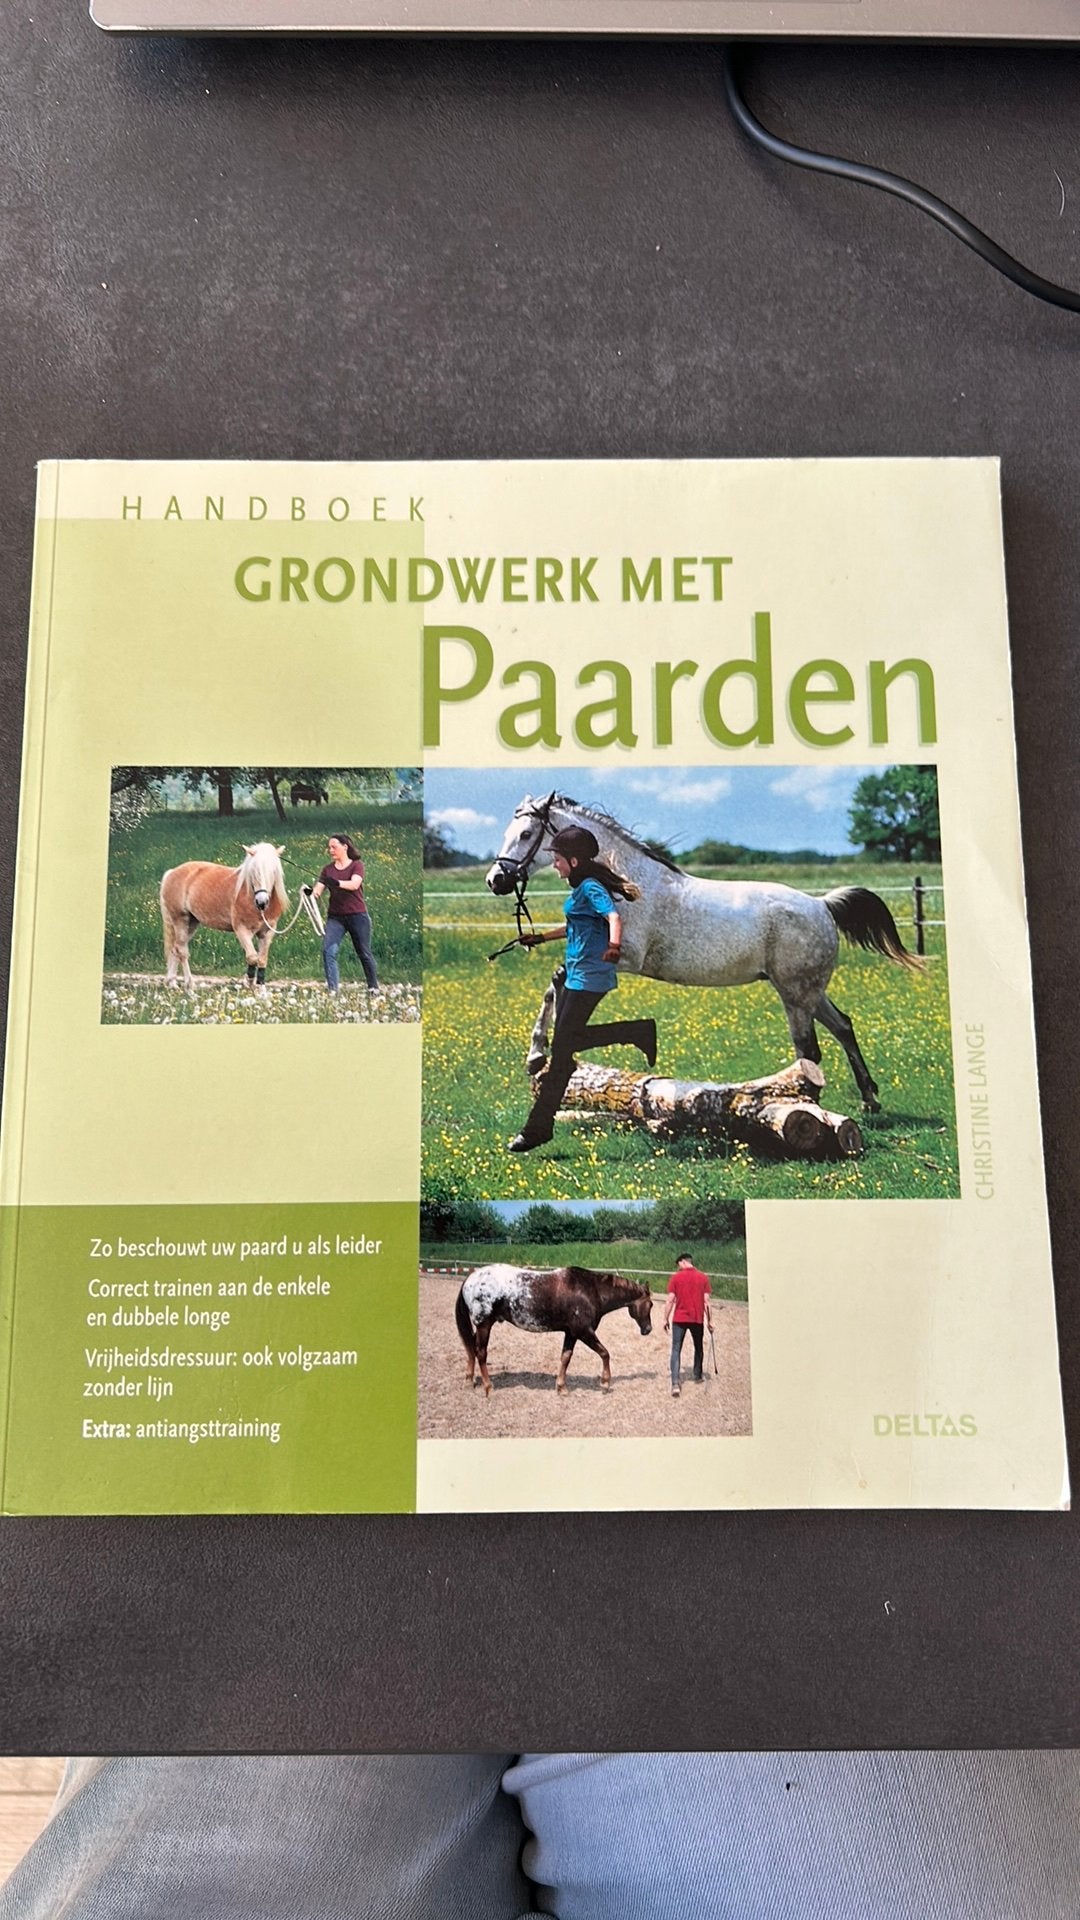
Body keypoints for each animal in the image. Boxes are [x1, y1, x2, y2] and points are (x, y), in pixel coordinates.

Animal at [160, 843, 288, 988]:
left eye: (274, 871)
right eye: (253, 871)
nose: (262, 902)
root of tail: (171, 872)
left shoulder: (266, 933)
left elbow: (261, 959)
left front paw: (260, 988)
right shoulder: (242, 930)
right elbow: (252, 957)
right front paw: (249, 983)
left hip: (191, 923)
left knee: (175, 948)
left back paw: (172, 983)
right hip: (180, 920)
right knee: (182, 951)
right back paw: (189, 983)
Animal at [454, 1262, 653, 1395]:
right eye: (650, 1304)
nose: (648, 1329)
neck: (591, 1291)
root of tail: (471, 1278)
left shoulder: (571, 1333)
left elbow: (565, 1358)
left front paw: (561, 1387)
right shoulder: (584, 1331)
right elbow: (605, 1353)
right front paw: (605, 1383)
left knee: (471, 1348)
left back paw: (469, 1380)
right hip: (484, 1325)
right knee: (480, 1353)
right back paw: (488, 1387)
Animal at [486, 793, 923, 1111]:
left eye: (526, 834)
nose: (496, 880)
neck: (621, 883)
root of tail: (822, 905)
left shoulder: (622, 957)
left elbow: (560, 979)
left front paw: (537, 1054)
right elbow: (558, 984)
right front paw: (541, 1054)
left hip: (796, 993)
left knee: (809, 1049)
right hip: (808, 991)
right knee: (844, 1026)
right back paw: (869, 1100)